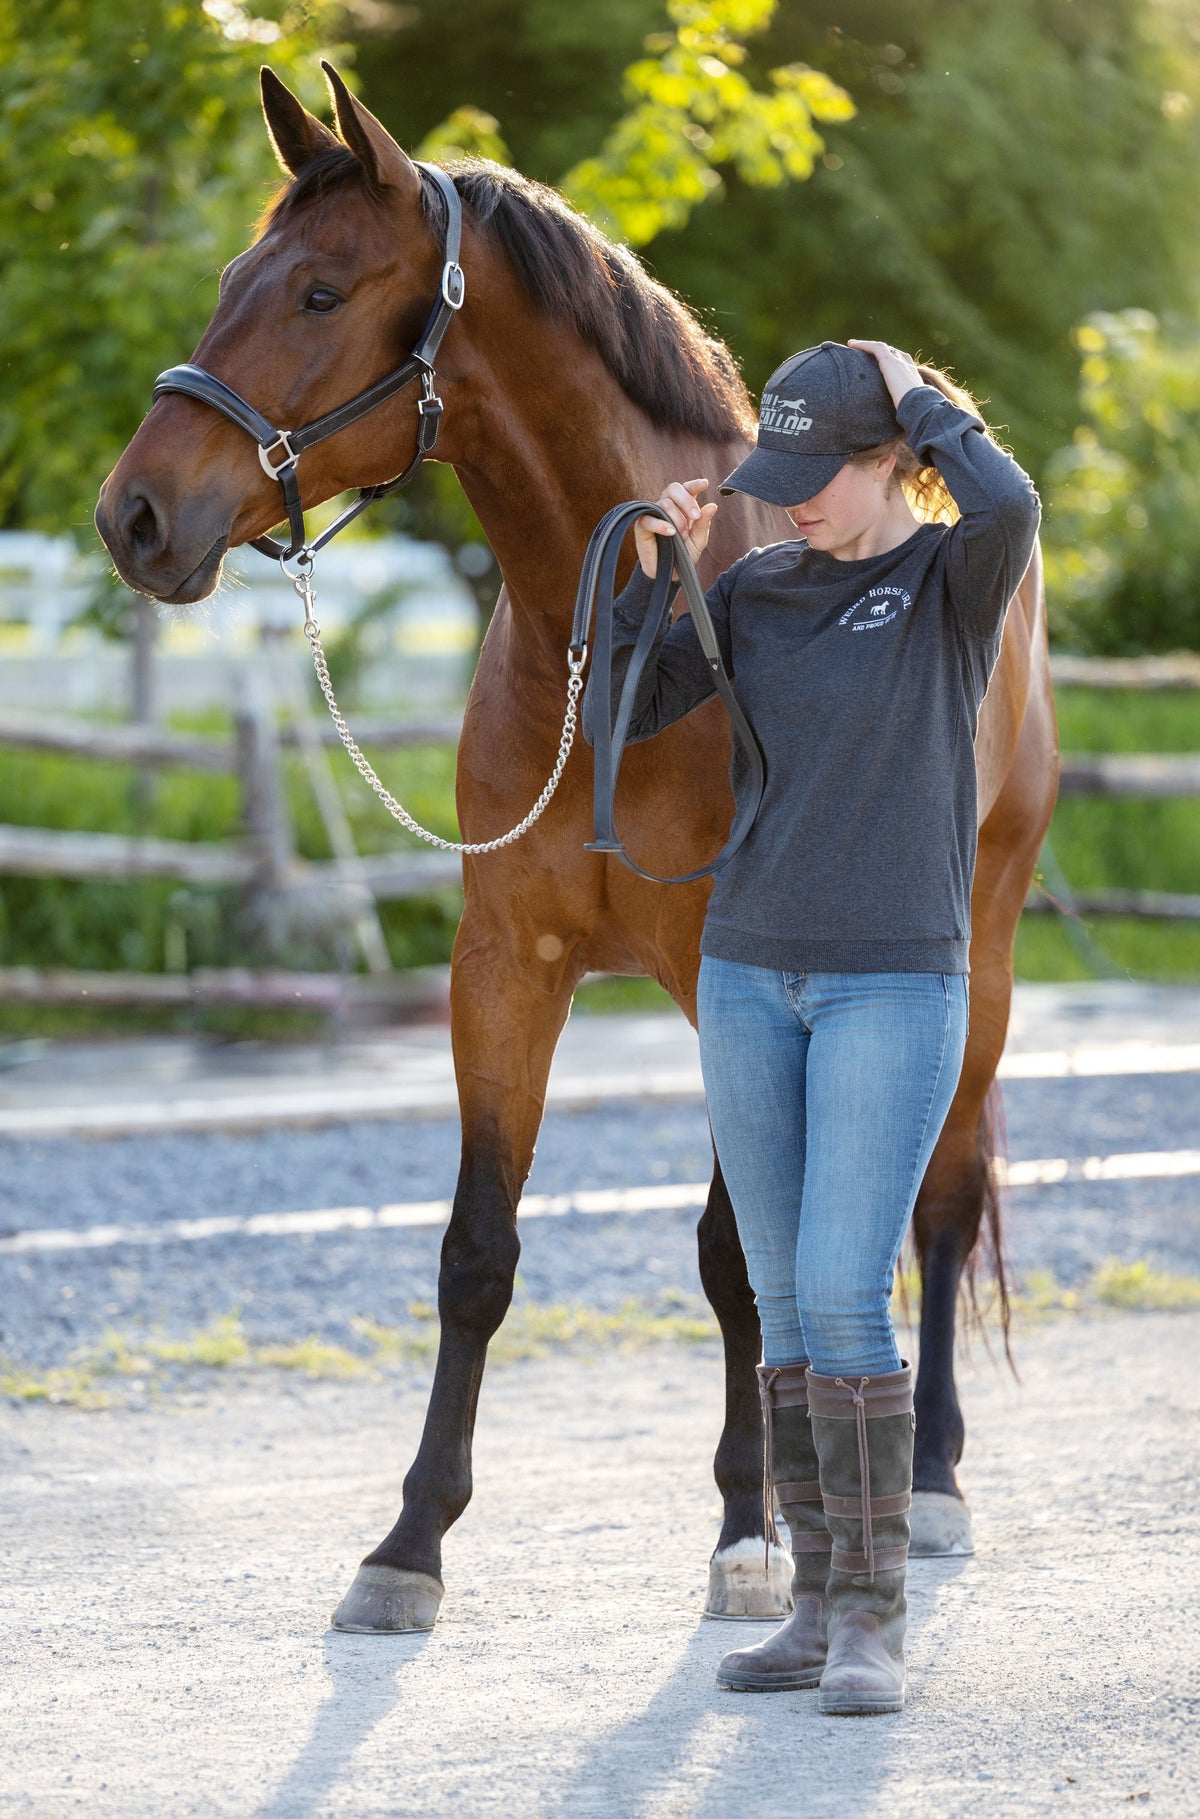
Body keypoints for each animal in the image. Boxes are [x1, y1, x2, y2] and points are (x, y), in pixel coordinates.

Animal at [95, 64, 1060, 1633]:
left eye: (317, 291)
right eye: (234, 279)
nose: (135, 514)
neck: (617, 624)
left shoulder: (742, 967)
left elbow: (742, 1255)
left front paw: (751, 1531)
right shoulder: (506, 968)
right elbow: (477, 1253)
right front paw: (408, 1543)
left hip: (977, 952)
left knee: (941, 1197)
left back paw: (925, 1479)